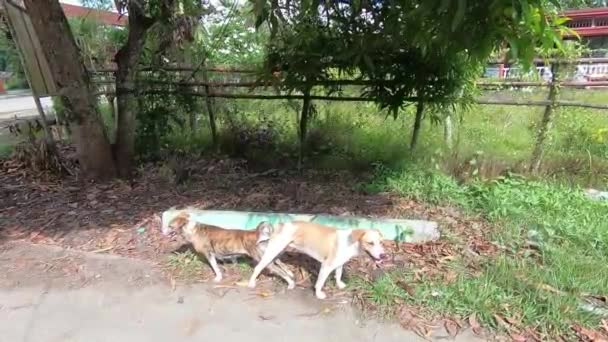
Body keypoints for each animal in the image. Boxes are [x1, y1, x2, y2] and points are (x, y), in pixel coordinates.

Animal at [162, 212, 294, 288]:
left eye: (170, 226)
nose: (162, 233)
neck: (190, 230)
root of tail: (257, 233)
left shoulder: (209, 254)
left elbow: (215, 268)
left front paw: (218, 278)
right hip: (269, 256)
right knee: (281, 263)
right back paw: (290, 273)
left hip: (263, 260)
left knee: (279, 271)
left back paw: (291, 284)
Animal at [246, 222, 384, 300]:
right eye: (370, 243)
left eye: (381, 242)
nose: (383, 255)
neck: (351, 242)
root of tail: (279, 225)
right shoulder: (326, 266)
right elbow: (319, 283)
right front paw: (318, 294)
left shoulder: (339, 263)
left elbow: (338, 274)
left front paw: (339, 284)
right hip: (273, 251)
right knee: (258, 267)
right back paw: (252, 283)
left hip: (279, 250)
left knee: (277, 262)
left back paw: (289, 277)